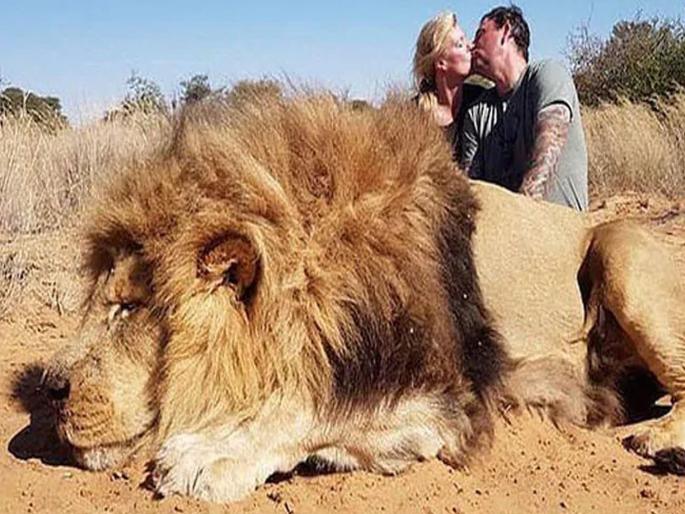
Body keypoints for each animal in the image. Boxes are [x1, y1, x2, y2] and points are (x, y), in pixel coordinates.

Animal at [40, 93, 685, 502]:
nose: (51, 390)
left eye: (129, 308)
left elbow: (317, 406)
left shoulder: (452, 399)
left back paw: (661, 443)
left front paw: (208, 456)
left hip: (619, 245)